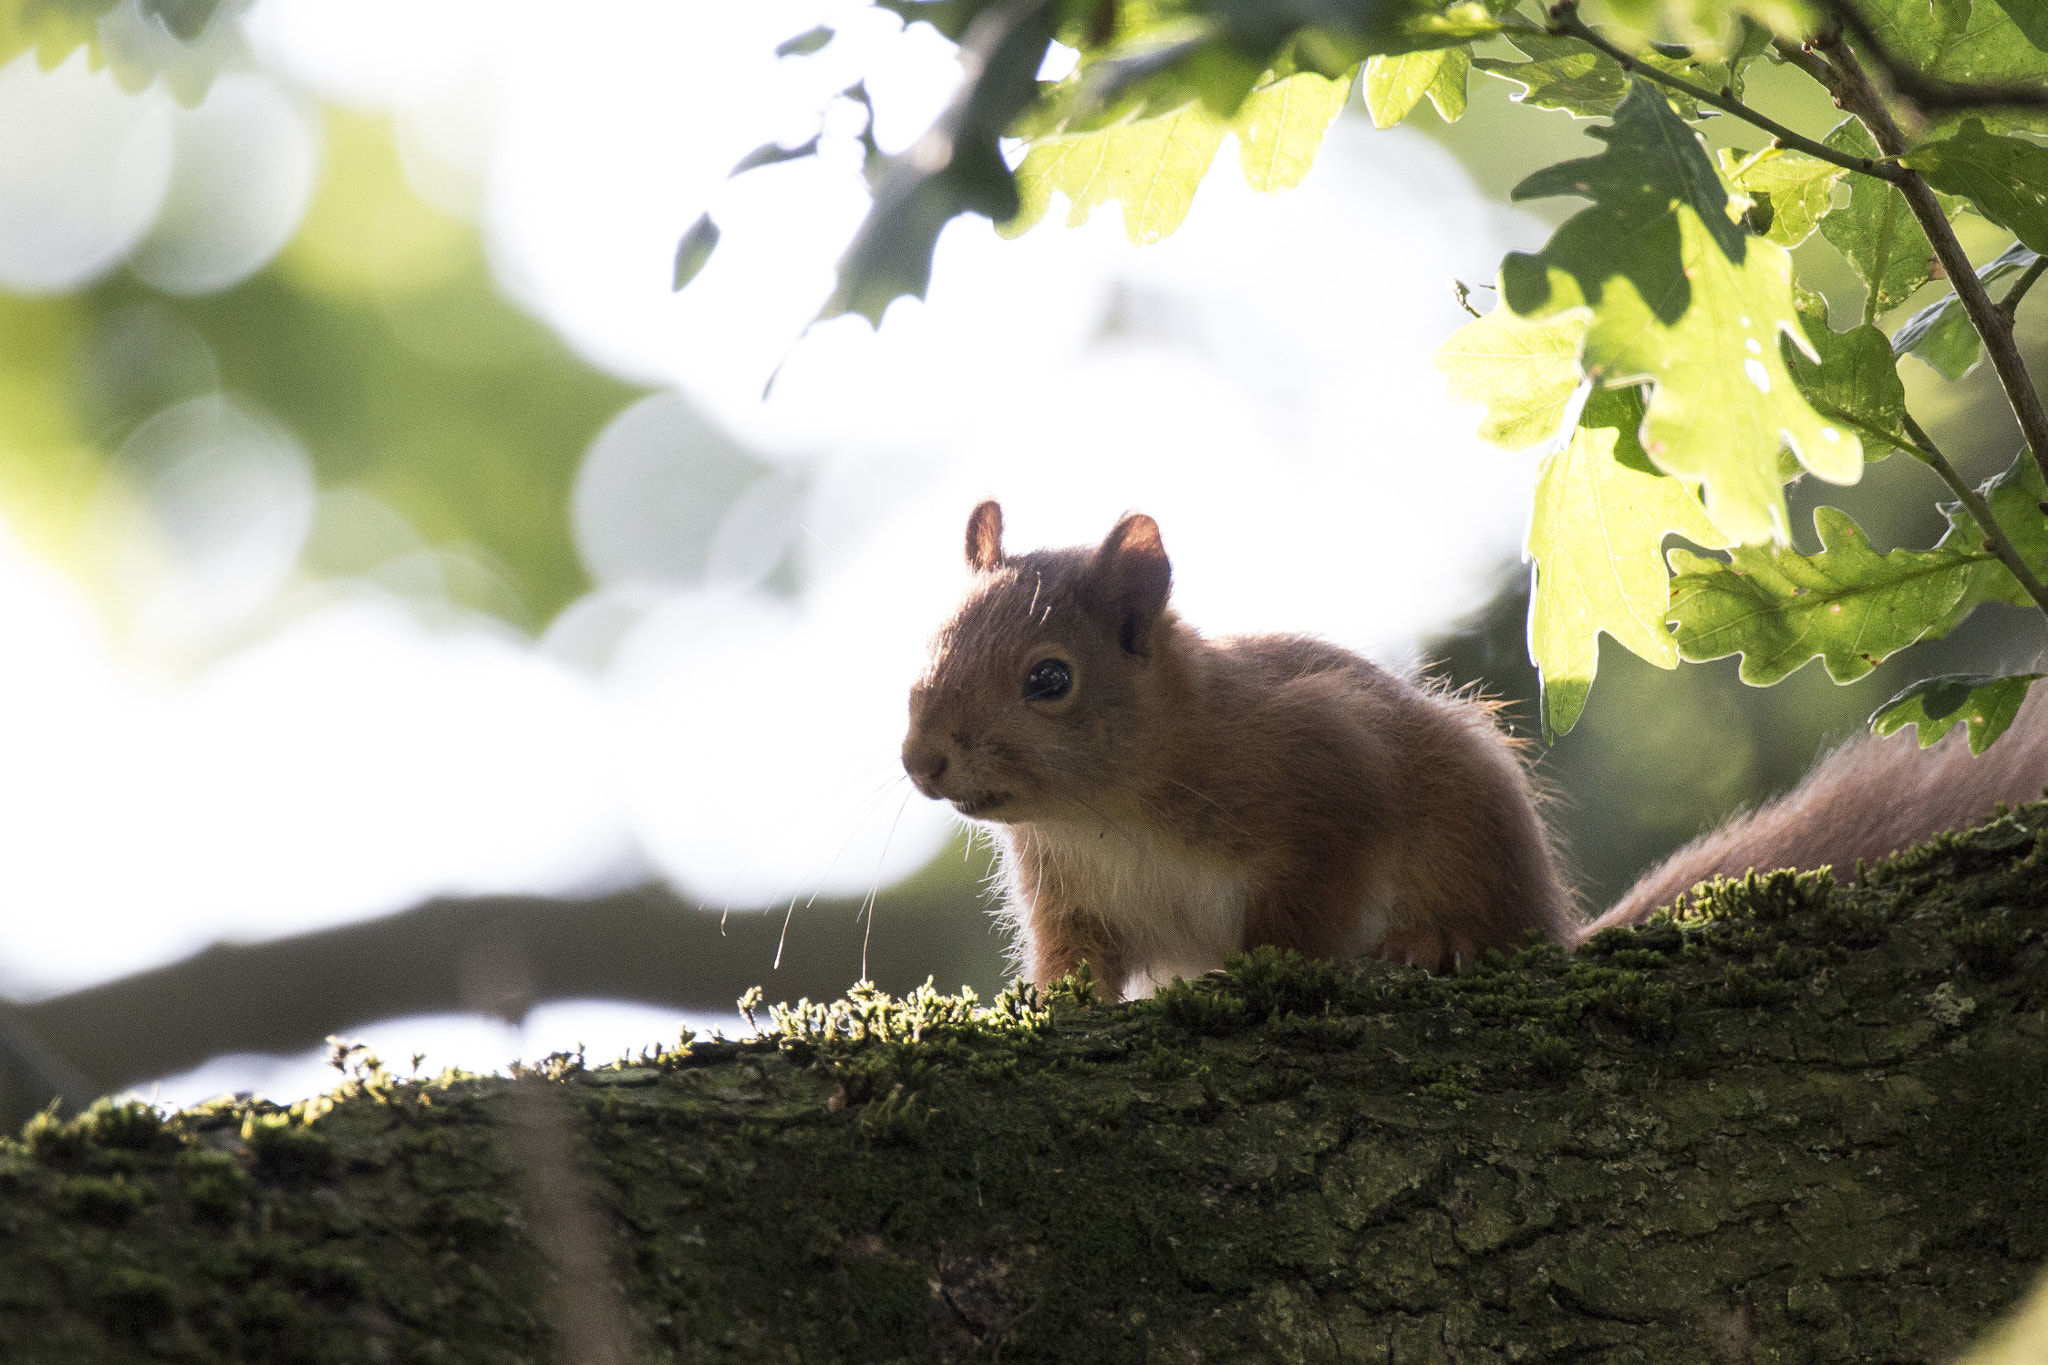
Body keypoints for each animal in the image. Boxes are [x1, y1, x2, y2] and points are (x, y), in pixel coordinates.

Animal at [901, 501, 2048, 1002]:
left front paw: (1264, 967)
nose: (922, 761)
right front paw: (1046, 1006)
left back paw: (1434, 944)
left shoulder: (1322, 774)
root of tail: (1551, 925)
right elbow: (1075, 968)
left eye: (1050, 679)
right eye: (929, 641)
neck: (1105, 808)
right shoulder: (1070, 895)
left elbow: (1307, 906)